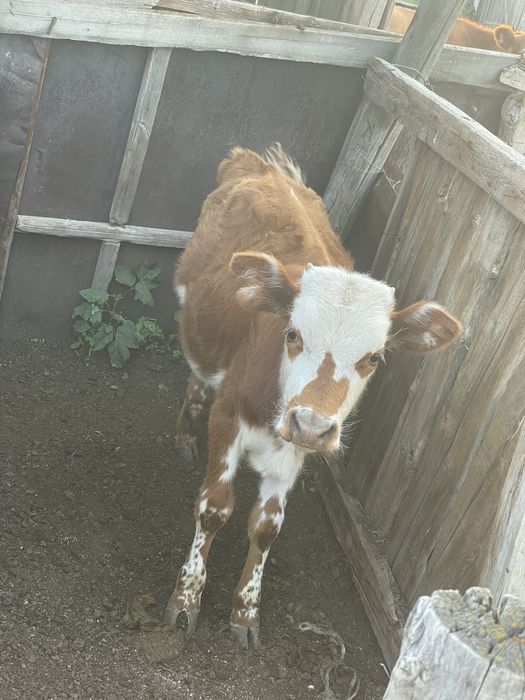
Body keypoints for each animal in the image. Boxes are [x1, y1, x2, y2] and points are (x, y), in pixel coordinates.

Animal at [166, 145, 462, 648]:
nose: (311, 423)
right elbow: (214, 509)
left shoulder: (296, 449)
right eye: (292, 333)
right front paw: (187, 598)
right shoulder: (228, 417)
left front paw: (246, 610)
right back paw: (186, 435)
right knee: (198, 381)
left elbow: (266, 526)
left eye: (375, 357)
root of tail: (261, 166)